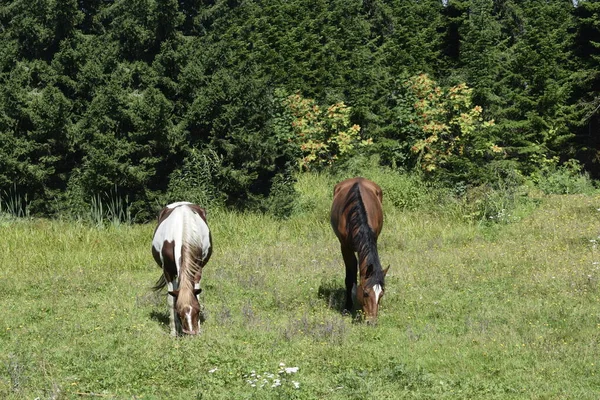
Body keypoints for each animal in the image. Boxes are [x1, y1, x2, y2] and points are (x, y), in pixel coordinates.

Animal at [151, 202, 212, 336]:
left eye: (198, 310)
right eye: (178, 312)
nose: (191, 333)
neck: (182, 232)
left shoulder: (197, 270)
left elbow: (197, 295)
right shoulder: (168, 272)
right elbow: (171, 300)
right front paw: (174, 332)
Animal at [328, 178, 390, 324]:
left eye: (381, 294)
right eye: (366, 293)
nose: (371, 322)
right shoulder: (345, 248)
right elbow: (349, 278)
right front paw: (347, 307)